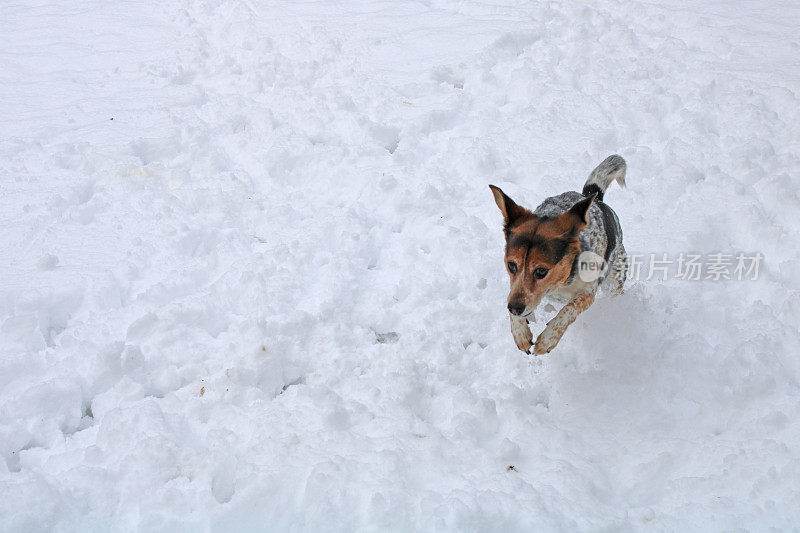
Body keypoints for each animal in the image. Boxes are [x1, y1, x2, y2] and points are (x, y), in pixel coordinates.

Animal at [488, 154, 632, 356]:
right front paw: (520, 333)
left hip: (616, 276)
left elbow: (570, 308)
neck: (560, 282)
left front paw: (547, 340)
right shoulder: (515, 289)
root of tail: (593, 196)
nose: (515, 309)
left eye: (541, 271)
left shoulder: (588, 292)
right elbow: (514, 292)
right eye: (511, 265)